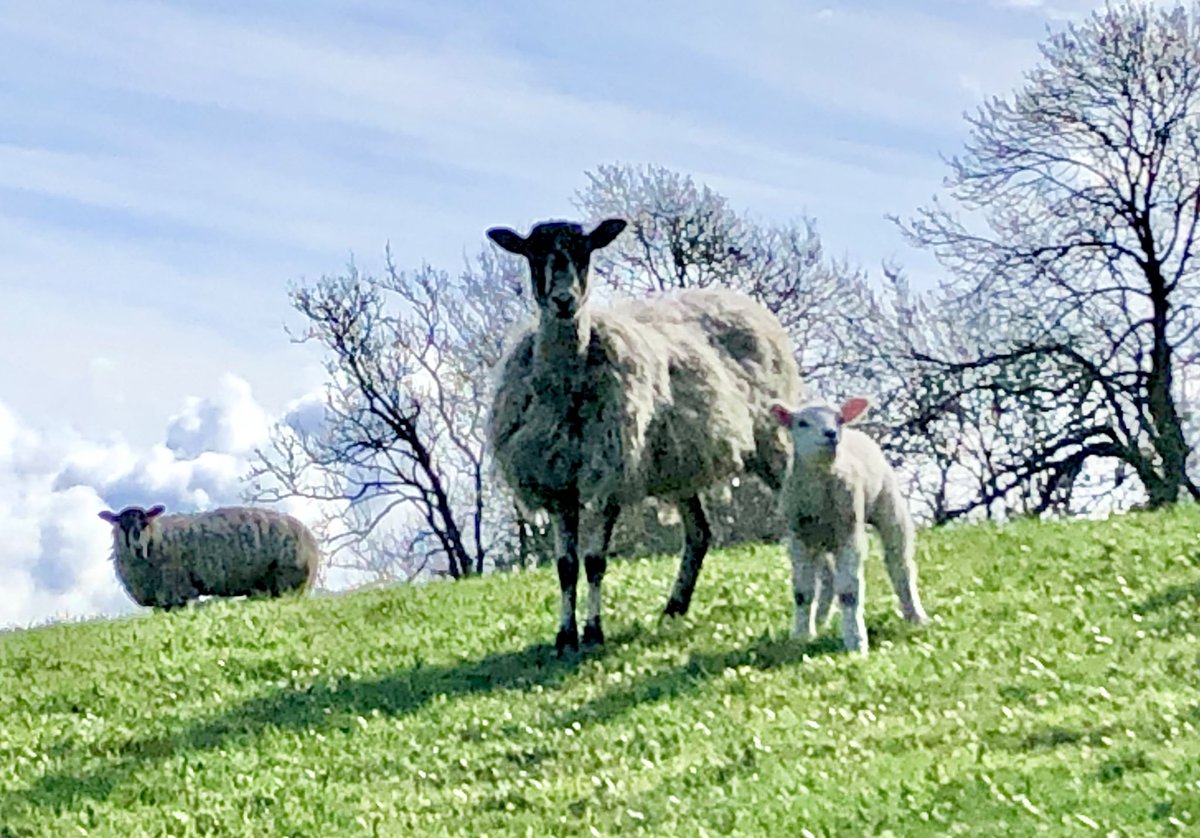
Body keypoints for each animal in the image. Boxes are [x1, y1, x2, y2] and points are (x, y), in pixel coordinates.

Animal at [98, 504, 321, 609]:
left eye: (144, 523)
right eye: (121, 525)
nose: (136, 547)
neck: (157, 538)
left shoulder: (178, 592)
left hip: (288, 582)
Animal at [487, 217, 801, 654]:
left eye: (586, 252)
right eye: (534, 255)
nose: (564, 301)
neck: (568, 384)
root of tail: (743, 301)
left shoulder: (610, 476)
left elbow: (594, 562)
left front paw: (593, 632)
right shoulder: (559, 484)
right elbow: (566, 567)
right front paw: (565, 636)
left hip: (772, 439)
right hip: (682, 464)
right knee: (700, 534)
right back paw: (673, 609)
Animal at [771, 396, 928, 655]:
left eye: (839, 419)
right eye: (802, 423)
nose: (831, 433)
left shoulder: (850, 534)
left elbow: (849, 593)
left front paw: (856, 641)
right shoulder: (798, 539)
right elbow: (803, 593)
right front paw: (801, 636)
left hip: (889, 504)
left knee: (900, 566)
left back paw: (915, 615)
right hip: (821, 540)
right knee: (827, 581)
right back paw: (820, 621)